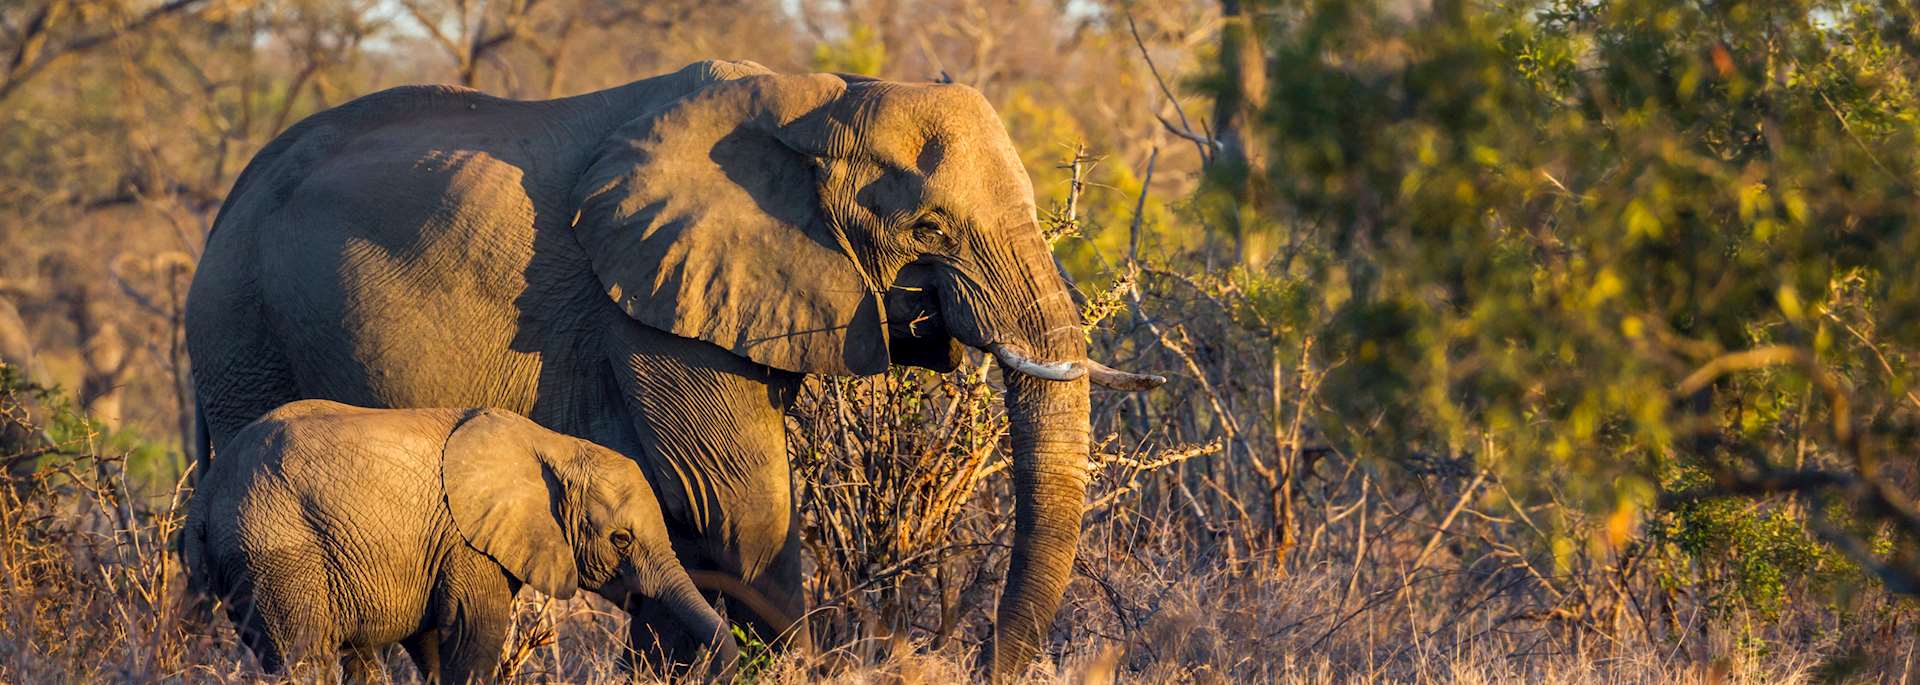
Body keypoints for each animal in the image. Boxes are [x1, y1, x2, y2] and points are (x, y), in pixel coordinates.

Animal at [182, 399, 741, 683]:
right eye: (621, 539)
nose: (719, 672)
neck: (551, 445)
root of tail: (205, 496)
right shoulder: (466, 544)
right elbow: (473, 638)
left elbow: (432, 643)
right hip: (275, 549)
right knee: (305, 657)